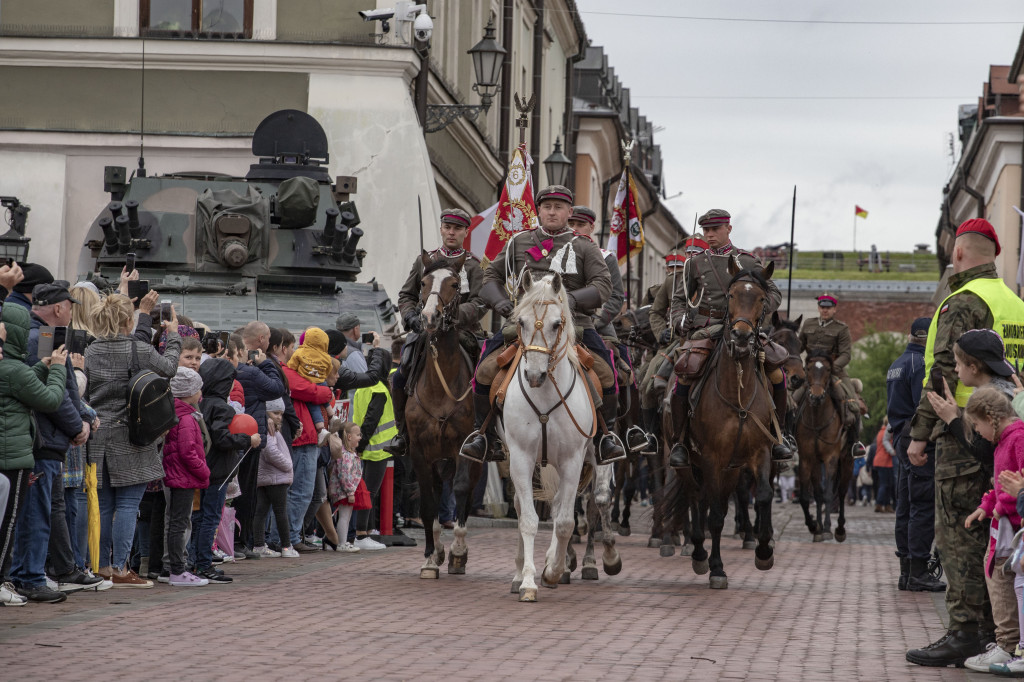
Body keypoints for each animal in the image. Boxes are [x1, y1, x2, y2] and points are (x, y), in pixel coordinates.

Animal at [497, 270, 598, 602]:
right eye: (521, 321)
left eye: (556, 323)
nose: (534, 376)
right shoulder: (520, 459)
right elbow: (528, 520)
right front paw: (528, 582)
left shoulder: (572, 461)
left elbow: (565, 521)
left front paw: (553, 570)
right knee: (521, 508)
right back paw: (520, 573)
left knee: (561, 509)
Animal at [663, 258, 774, 585]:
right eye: (731, 295)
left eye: (761, 299)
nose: (741, 338)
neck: (737, 392)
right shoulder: (712, 457)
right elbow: (712, 515)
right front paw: (716, 567)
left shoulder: (758, 453)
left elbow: (763, 496)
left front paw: (764, 551)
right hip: (688, 461)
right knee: (695, 499)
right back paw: (699, 552)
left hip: (731, 471)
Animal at [794, 350, 851, 540]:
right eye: (808, 368)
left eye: (827, 370)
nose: (816, 396)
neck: (818, 421)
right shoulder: (806, 459)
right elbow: (807, 496)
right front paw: (814, 525)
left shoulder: (831, 458)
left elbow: (828, 494)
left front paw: (826, 528)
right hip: (816, 464)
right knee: (818, 492)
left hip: (847, 460)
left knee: (841, 491)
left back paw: (839, 528)